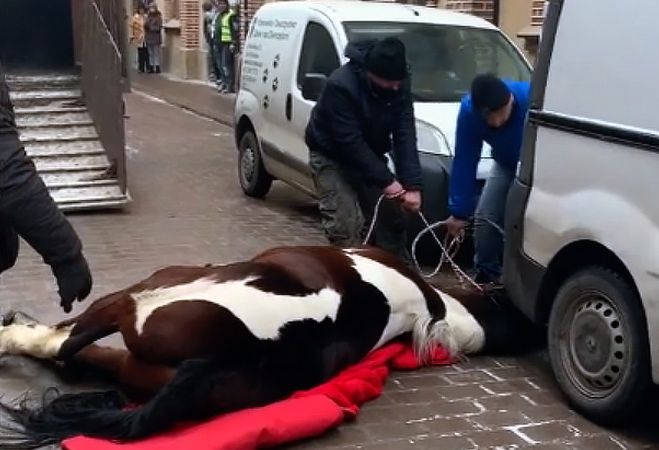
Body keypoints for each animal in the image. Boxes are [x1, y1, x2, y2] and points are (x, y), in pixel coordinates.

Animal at [0, 244, 540, 448]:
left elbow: (65, 335)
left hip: (141, 295)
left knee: (66, 343)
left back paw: (13, 333)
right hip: (138, 359)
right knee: (75, 351)